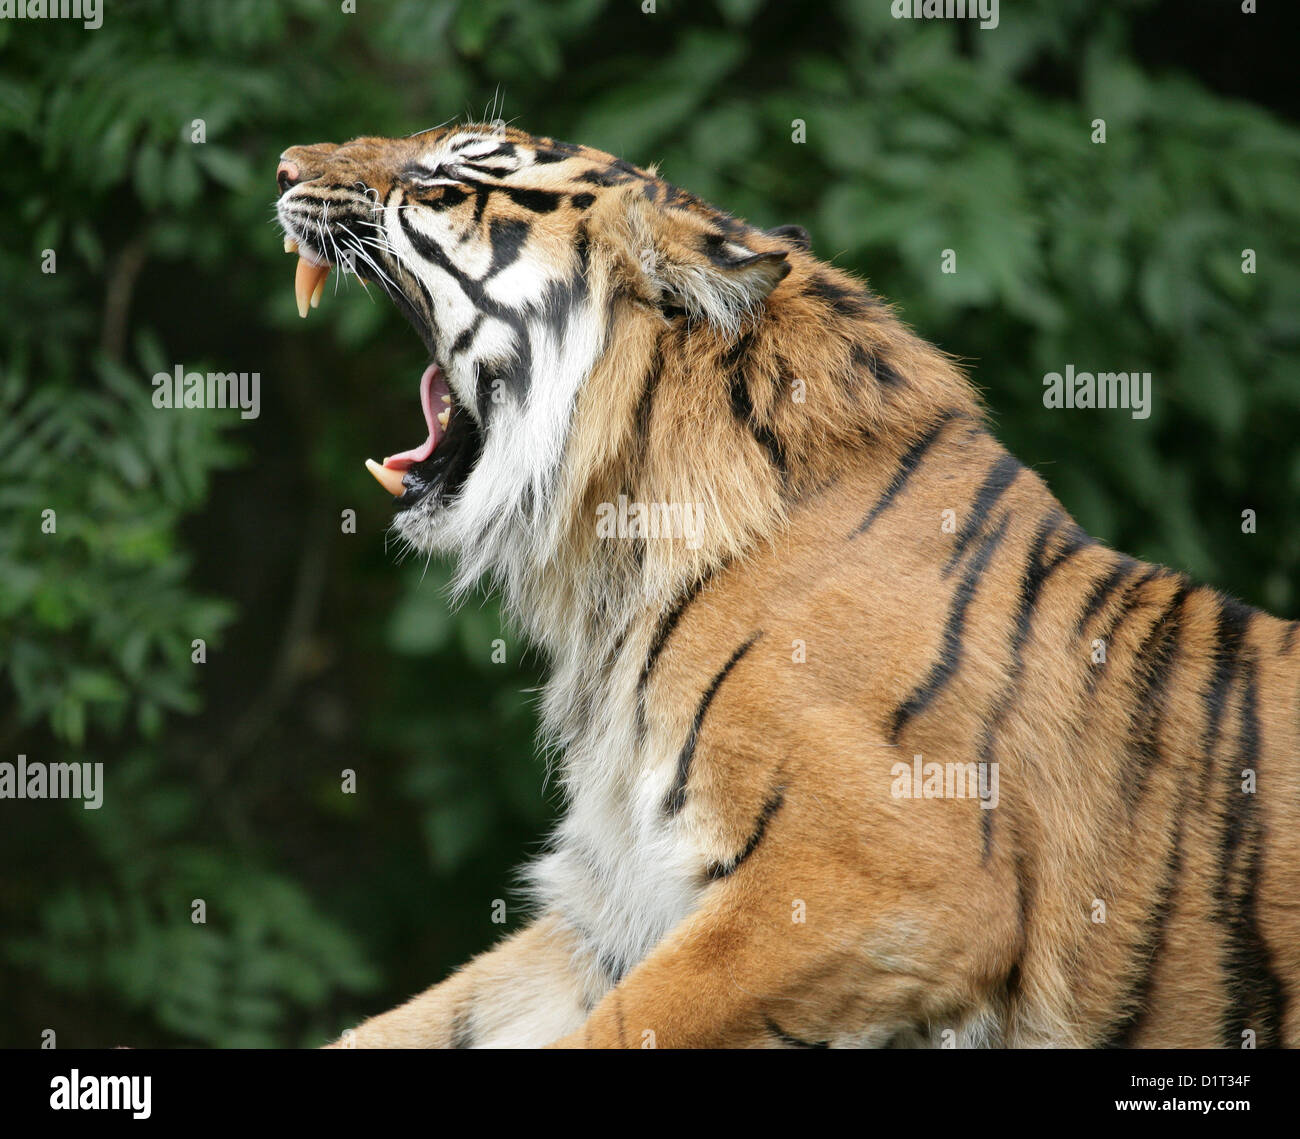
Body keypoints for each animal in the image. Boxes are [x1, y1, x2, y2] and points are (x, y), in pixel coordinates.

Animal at [273, 123, 1299, 1049]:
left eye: (445, 180)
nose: (283, 167)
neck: (614, 559)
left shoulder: (889, 884)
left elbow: (629, 1028)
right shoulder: (618, 899)